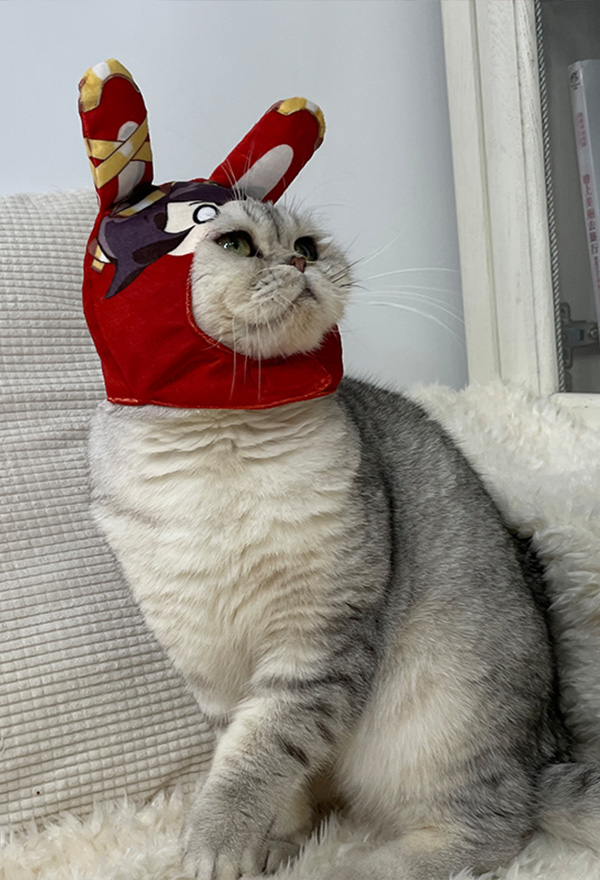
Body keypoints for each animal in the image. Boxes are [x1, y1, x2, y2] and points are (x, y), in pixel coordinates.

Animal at [89, 196, 600, 880]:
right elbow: (255, 762)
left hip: (441, 722)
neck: (226, 442)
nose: (301, 261)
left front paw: (216, 846)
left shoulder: (318, 637)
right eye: (234, 243)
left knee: (495, 827)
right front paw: (269, 845)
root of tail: (543, 758)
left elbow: (255, 760)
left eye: (306, 243)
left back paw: (353, 866)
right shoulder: (208, 656)